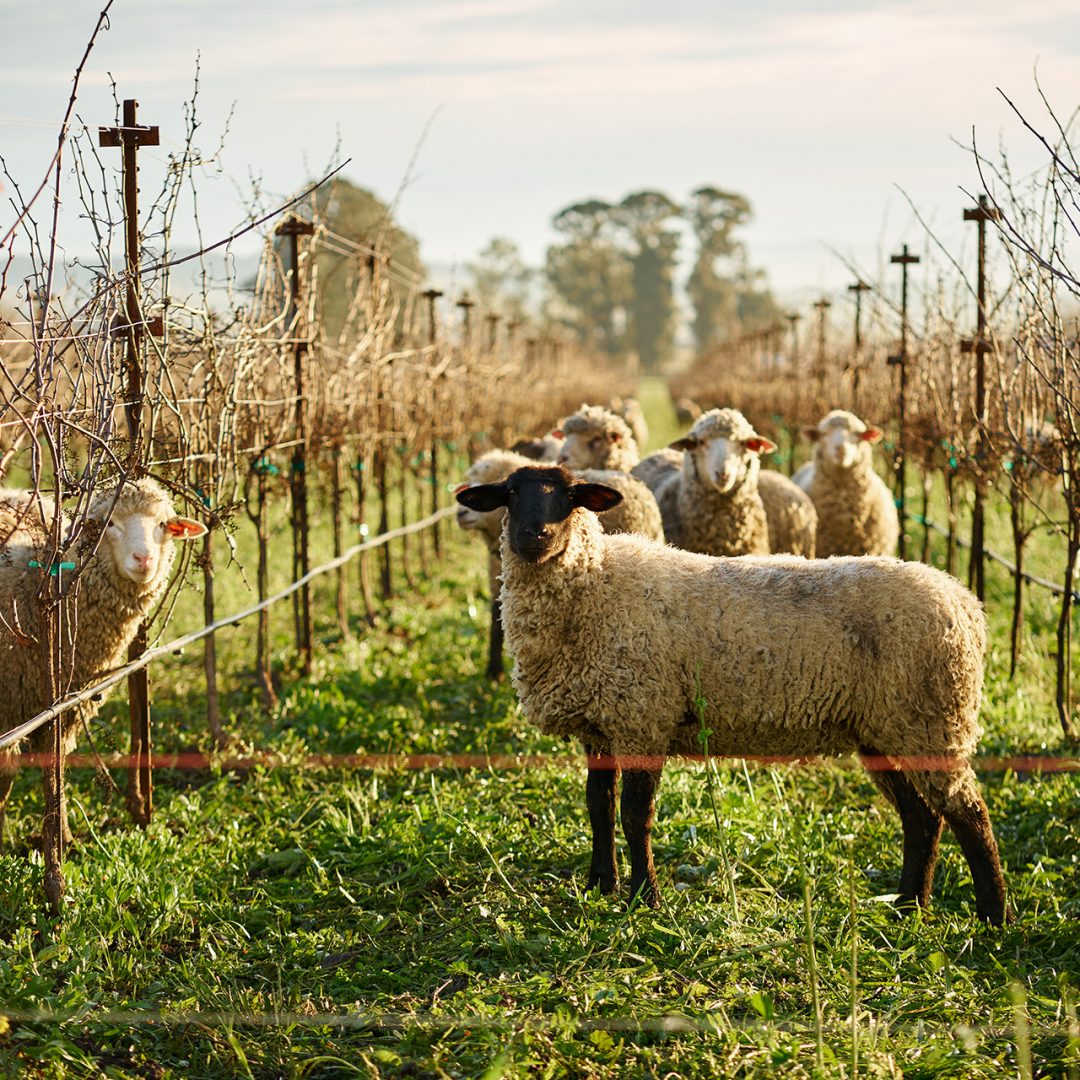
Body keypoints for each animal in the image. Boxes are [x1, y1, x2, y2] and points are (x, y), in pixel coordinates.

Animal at [0, 478, 206, 905]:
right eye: (109, 523)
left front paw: (61, 841)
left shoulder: (61, 705)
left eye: (163, 524)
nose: (144, 559)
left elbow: (54, 770)